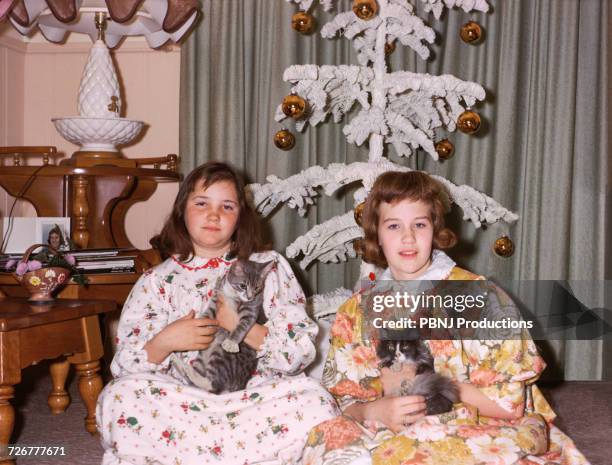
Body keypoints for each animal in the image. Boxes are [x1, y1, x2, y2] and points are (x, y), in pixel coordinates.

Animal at [172, 260, 278, 394]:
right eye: (243, 285)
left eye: (257, 288)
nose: (249, 297)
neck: (233, 294)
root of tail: (239, 384)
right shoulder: (217, 297)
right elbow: (209, 313)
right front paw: (200, 324)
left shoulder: (252, 308)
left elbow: (244, 324)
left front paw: (231, 342)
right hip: (203, 355)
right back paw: (179, 364)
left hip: (223, 356)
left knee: (214, 385)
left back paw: (188, 369)